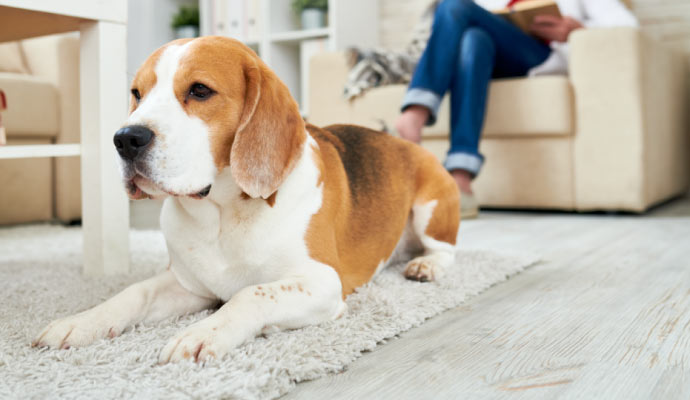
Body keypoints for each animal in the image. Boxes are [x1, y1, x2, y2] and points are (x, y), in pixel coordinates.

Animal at [35, 36, 460, 364]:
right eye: (137, 94)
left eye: (200, 90)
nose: (125, 139)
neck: (222, 215)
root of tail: (405, 143)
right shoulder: (189, 285)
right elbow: (134, 292)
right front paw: (82, 321)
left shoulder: (323, 283)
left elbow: (251, 293)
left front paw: (203, 332)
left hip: (431, 209)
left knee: (445, 249)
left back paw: (426, 266)